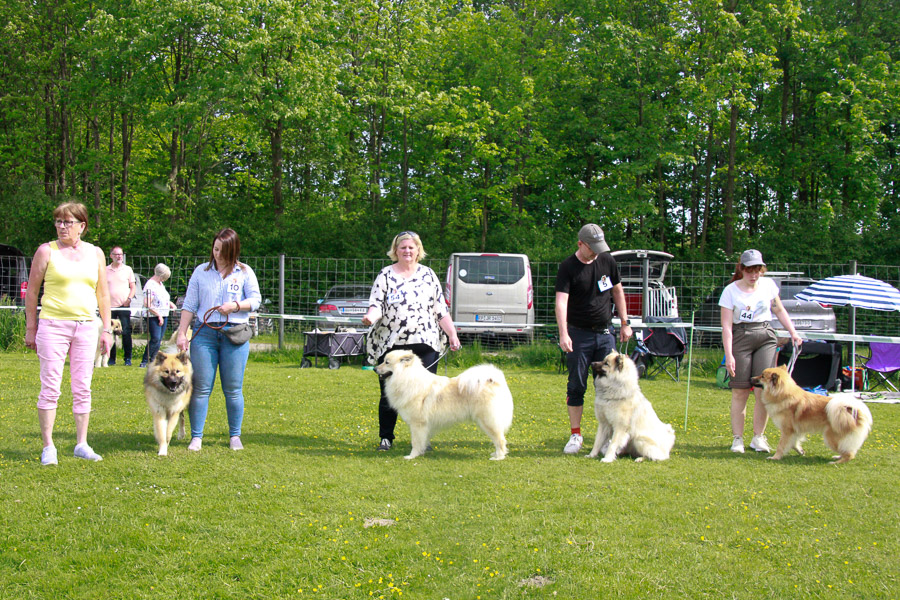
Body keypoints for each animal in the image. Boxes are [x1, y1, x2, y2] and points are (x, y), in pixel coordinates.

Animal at [372, 346, 512, 460]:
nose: (374, 368)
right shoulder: (424, 425)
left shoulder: (417, 423)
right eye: (383, 360)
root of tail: (492, 380)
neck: (408, 378)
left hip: (487, 420)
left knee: (500, 439)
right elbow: (422, 440)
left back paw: (498, 457)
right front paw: (421, 452)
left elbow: (416, 442)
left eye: (386, 362)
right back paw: (496, 454)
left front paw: (412, 456)